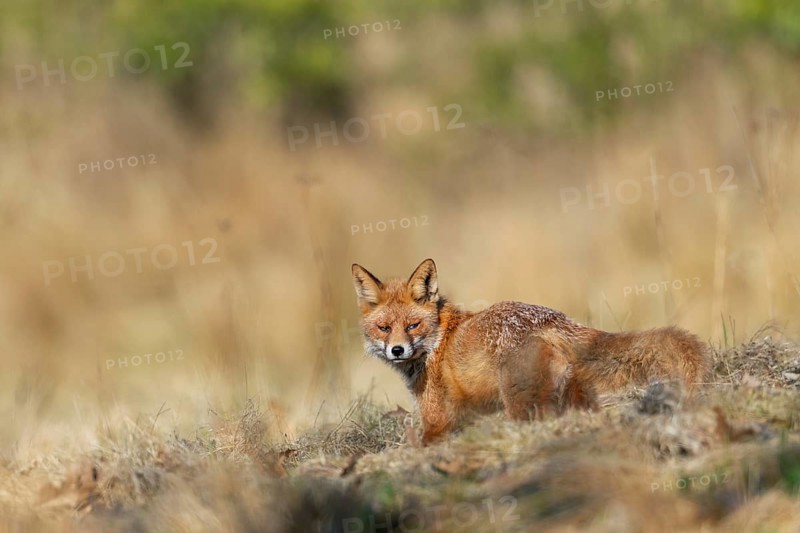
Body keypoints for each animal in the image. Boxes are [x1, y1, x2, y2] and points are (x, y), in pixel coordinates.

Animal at [351, 258, 712, 445]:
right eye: (384, 328)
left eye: (413, 325)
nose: (397, 350)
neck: (438, 337)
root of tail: (554, 318)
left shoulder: (437, 421)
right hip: (573, 396)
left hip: (520, 404)